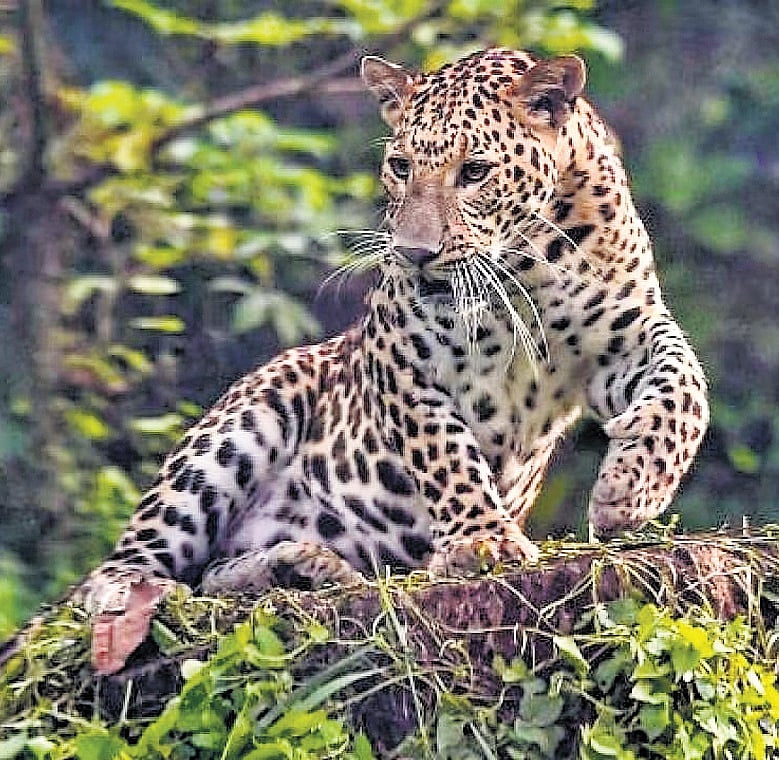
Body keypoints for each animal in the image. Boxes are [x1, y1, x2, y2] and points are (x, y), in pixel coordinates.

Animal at [71, 48, 708, 675]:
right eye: (401, 167)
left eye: (473, 173)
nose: (414, 254)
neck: (524, 264)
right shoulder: (400, 359)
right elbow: (446, 452)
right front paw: (482, 542)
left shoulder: (629, 333)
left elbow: (685, 386)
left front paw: (629, 489)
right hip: (245, 420)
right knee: (118, 572)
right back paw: (144, 595)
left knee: (212, 573)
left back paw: (301, 567)